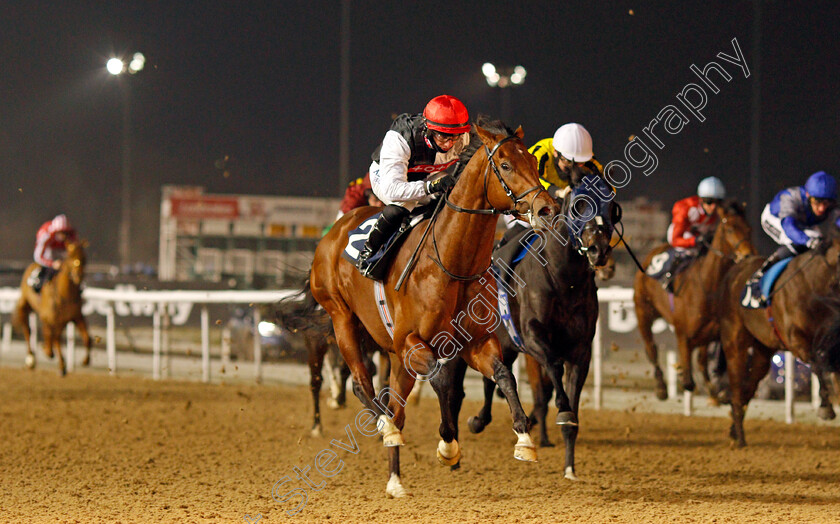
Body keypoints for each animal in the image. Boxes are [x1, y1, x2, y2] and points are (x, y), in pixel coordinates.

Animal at [13, 242, 92, 376]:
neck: (65, 294)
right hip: (25, 305)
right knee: (27, 330)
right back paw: (31, 358)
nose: (78, 276)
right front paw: (58, 361)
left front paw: (85, 360)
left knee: (50, 334)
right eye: (70, 257)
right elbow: (53, 339)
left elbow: (87, 338)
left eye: (84, 257)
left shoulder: (76, 317)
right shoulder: (51, 317)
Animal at [308, 118, 556, 496]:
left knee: (396, 406)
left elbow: (503, 375)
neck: (454, 264)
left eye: (533, 162)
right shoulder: (412, 342)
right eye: (506, 166)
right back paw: (385, 429)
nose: (546, 208)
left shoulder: (475, 343)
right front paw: (448, 446)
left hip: (394, 355)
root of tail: (333, 233)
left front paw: (524, 438)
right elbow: (441, 380)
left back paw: (395, 480)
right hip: (342, 318)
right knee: (363, 386)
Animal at [460, 171, 616, 478]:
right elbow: (553, 369)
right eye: (579, 204)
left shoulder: (581, 350)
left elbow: (570, 403)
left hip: (502, 344)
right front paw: (561, 411)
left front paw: (569, 468)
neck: (563, 280)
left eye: (612, 206)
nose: (598, 249)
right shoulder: (532, 337)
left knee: (492, 377)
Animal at [632, 203, 756, 400]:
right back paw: (661, 387)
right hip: (643, 310)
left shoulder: (710, 332)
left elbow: (702, 361)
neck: (708, 286)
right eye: (729, 229)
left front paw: (715, 390)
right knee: (651, 348)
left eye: (749, 229)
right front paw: (683, 375)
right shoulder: (683, 334)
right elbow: (689, 378)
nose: (747, 256)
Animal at [716, 237, 840, 446]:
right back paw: (739, 436)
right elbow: (817, 365)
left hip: (763, 350)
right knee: (736, 384)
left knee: (749, 386)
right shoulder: (796, 340)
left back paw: (734, 427)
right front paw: (826, 408)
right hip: (734, 340)